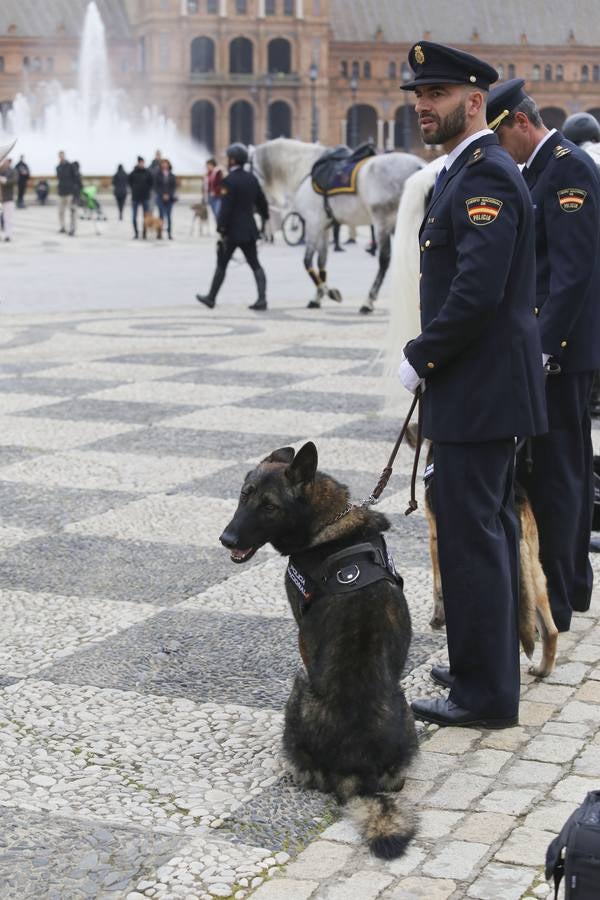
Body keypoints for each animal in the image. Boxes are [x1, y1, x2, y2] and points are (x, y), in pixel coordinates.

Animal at [218, 446, 420, 860]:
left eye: (269, 507)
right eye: (244, 495)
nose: (227, 540)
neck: (330, 524)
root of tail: (357, 775)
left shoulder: (302, 635)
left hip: (297, 692)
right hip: (405, 711)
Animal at [251, 137, 424, 312]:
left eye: (249, 167)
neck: (305, 169)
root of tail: (420, 166)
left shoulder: (313, 224)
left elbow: (307, 261)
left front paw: (327, 291)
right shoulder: (324, 227)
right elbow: (321, 262)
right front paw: (318, 297)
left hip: (383, 222)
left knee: (384, 260)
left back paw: (368, 301)